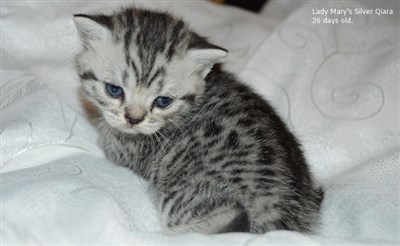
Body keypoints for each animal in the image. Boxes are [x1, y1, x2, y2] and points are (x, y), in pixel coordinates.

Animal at [74, 7, 324, 234]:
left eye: (163, 101)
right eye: (114, 90)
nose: (133, 119)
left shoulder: (127, 150)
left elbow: (107, 138)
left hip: (186, 197)